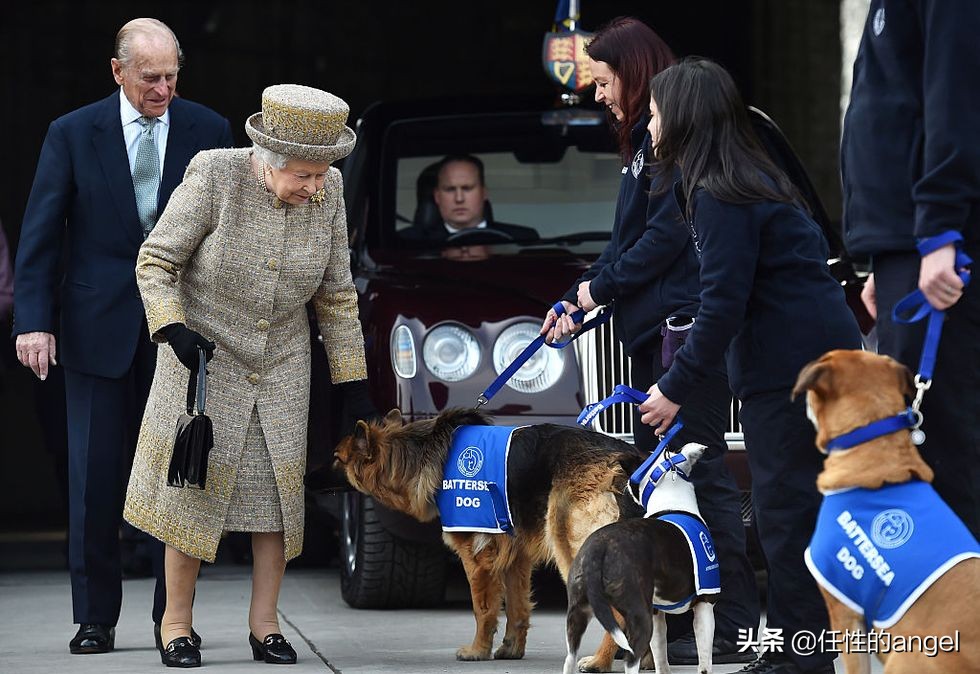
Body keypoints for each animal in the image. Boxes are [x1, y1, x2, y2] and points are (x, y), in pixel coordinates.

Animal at [336, 404, 652, 668]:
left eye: (338, 460)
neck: (423, 451)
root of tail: (627, 458)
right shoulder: (517, 558)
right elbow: (517, 607)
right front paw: (511, 649)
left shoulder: (477, 558)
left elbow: (483, 609)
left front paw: (477, 651)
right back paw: (645, 661)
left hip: (575, 553)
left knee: (619, 613)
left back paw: (600, 661)